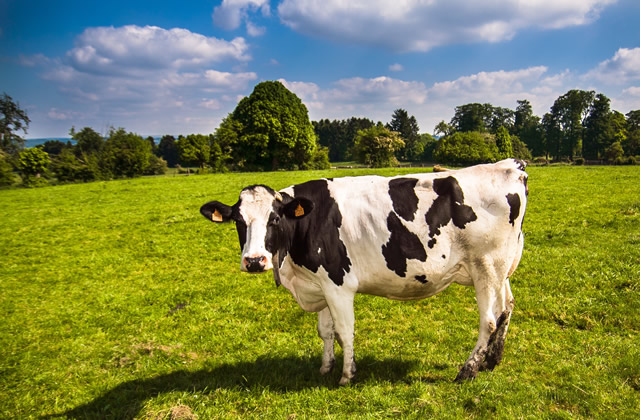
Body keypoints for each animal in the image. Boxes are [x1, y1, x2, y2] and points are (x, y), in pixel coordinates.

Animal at [201, 158, 528, 384]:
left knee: (489, 321)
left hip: (486, 266)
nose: (255, 261)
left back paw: (468, 370)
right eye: (239, 221)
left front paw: (347, 375)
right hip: (501, 268)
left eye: (275, 219)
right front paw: (325, 367)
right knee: (506, 308)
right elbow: (325, 331)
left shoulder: (338, 283)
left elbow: (345, 330)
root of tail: (510, 165)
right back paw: (491, 360)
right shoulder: (320, 283)